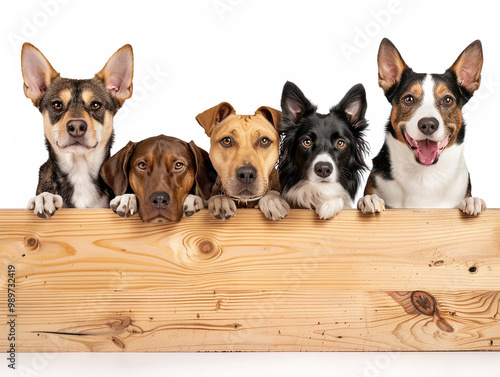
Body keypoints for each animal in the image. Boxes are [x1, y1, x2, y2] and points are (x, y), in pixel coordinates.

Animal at [21, 42, 133, 217]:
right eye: (57, 104)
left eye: (95, 105)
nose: (76, 127)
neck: (80, 172)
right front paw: (45, 198)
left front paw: (127, 198)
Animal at [358, 38, 486, 216]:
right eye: (409, 99)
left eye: (448, 100)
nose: (428, 125)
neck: (425, 174)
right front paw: (370, 199)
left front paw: (472, 201)